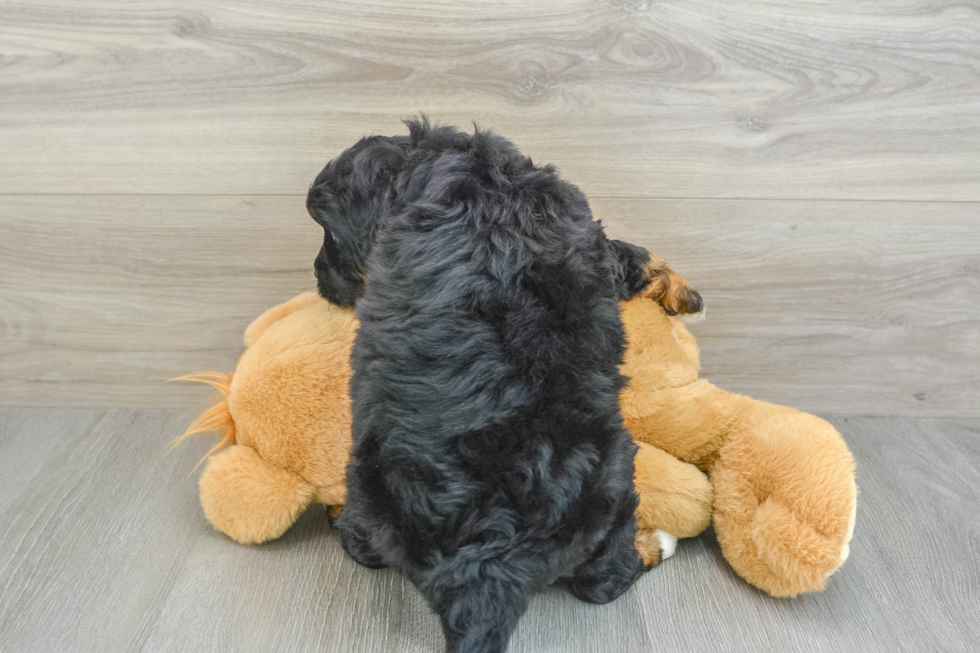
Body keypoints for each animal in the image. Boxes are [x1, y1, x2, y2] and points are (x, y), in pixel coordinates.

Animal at [310, 118, 700, 652]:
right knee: (602, 579)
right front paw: (682, 290)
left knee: (362, 544)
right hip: (613, 481)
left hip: (371, 487)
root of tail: (484, 568)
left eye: (328, 233)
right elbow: (629, 254)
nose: (317, 277)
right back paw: (653, 543)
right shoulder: (589, 235)